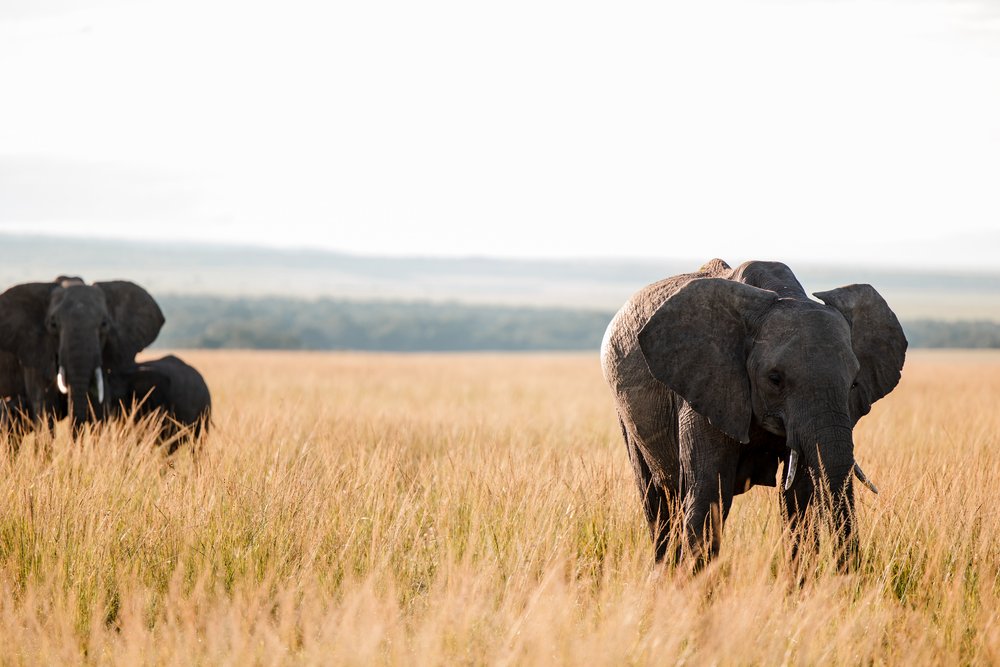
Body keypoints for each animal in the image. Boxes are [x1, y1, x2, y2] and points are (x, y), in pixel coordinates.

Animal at [596, 260, 912, 568]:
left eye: (854, 383)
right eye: (775, 379)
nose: (848, 577)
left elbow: (800, 498)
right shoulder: (707, 386)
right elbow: (709, 493)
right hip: (624, 410)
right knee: (657, 501)